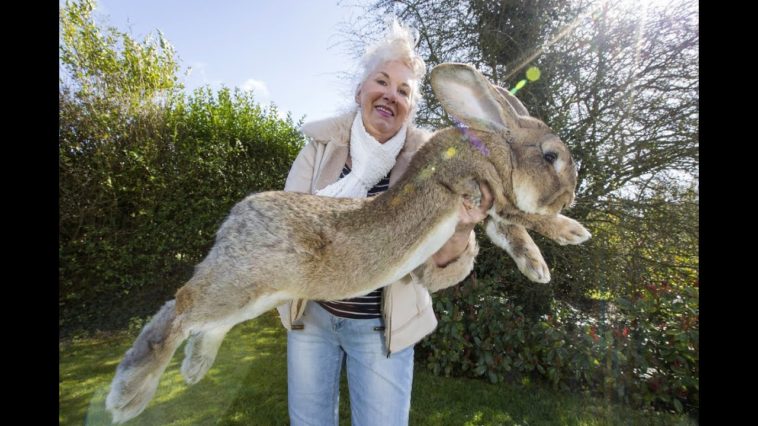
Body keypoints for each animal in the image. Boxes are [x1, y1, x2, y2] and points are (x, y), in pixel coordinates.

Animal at [105, 62, 590, 424]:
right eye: (551, 156)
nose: (571, 195)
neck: (493, 146)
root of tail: (234, 222)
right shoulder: (481, 190)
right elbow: (525, 216)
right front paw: (572, 232)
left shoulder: (488, 211)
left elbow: (512, 233)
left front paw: (538, 268)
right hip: (243, 283)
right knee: (181, 307)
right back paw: (128, 394)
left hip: (256, 296)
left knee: (200, 321)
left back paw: (192, 369)